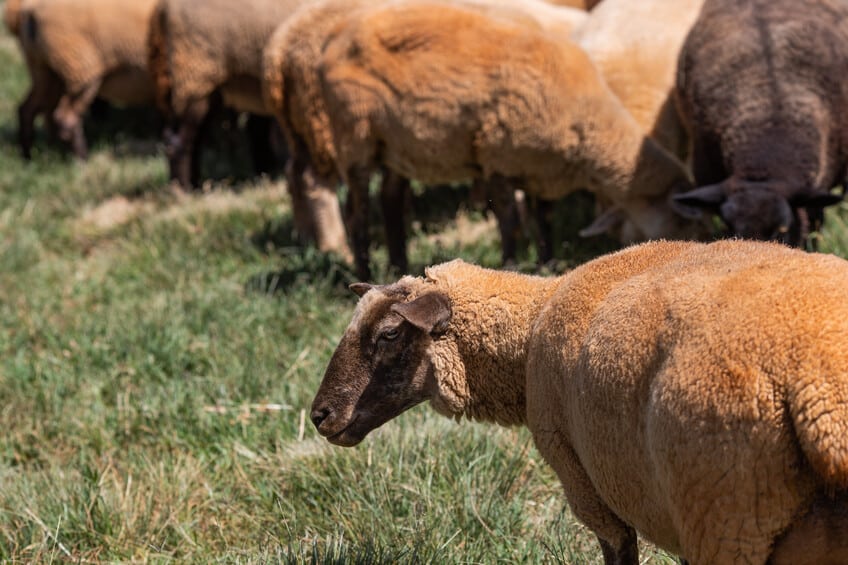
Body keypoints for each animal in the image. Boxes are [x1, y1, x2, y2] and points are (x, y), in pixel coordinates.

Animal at [13, 0, 158, 160]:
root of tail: (31, 9)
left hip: (44, 69)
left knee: (29, 109)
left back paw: (31, 155)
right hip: (80, 70)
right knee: (65, 116)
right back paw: (81, 158)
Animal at [149, 0, 308, 189]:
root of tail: (163, 8)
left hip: (209, 85)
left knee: (188, 137)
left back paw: (196, 184)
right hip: (195, 76)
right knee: (180, 140)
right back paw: (183, 188)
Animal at [308, 1, 700, 280]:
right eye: (681, 221)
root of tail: (334, 38)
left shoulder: (543, 171)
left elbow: (545, 219)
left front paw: (548, 264)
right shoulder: (498, 157)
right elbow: (509, 220)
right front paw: (512, 265)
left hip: (397, 146)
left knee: (390, 199)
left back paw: (398, 266)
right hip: (355, 134)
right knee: (357, 211)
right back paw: (364, 272)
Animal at [314, 238, 848, 564]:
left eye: (388, 334)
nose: (319, 415)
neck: (531, 324)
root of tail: (822, 395)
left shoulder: (587, 487)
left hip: (726, 515)